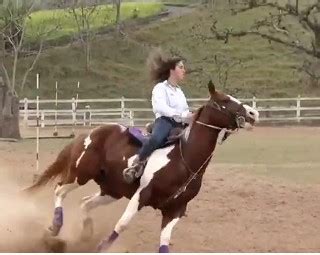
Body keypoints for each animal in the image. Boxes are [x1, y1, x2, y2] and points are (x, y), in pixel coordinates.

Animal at [25, 80, 260, 252]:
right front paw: (101, 247)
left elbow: (164, 244)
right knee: (59, 190)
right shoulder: (141, 195)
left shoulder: (176, 210)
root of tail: (89, 133)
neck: (184, 159)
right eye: (224, 99)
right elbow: (122, 224)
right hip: (80, 174)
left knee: (85, 203)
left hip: (112, 191)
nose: (253, 113)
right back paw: (55, 227)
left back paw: (84, 234)